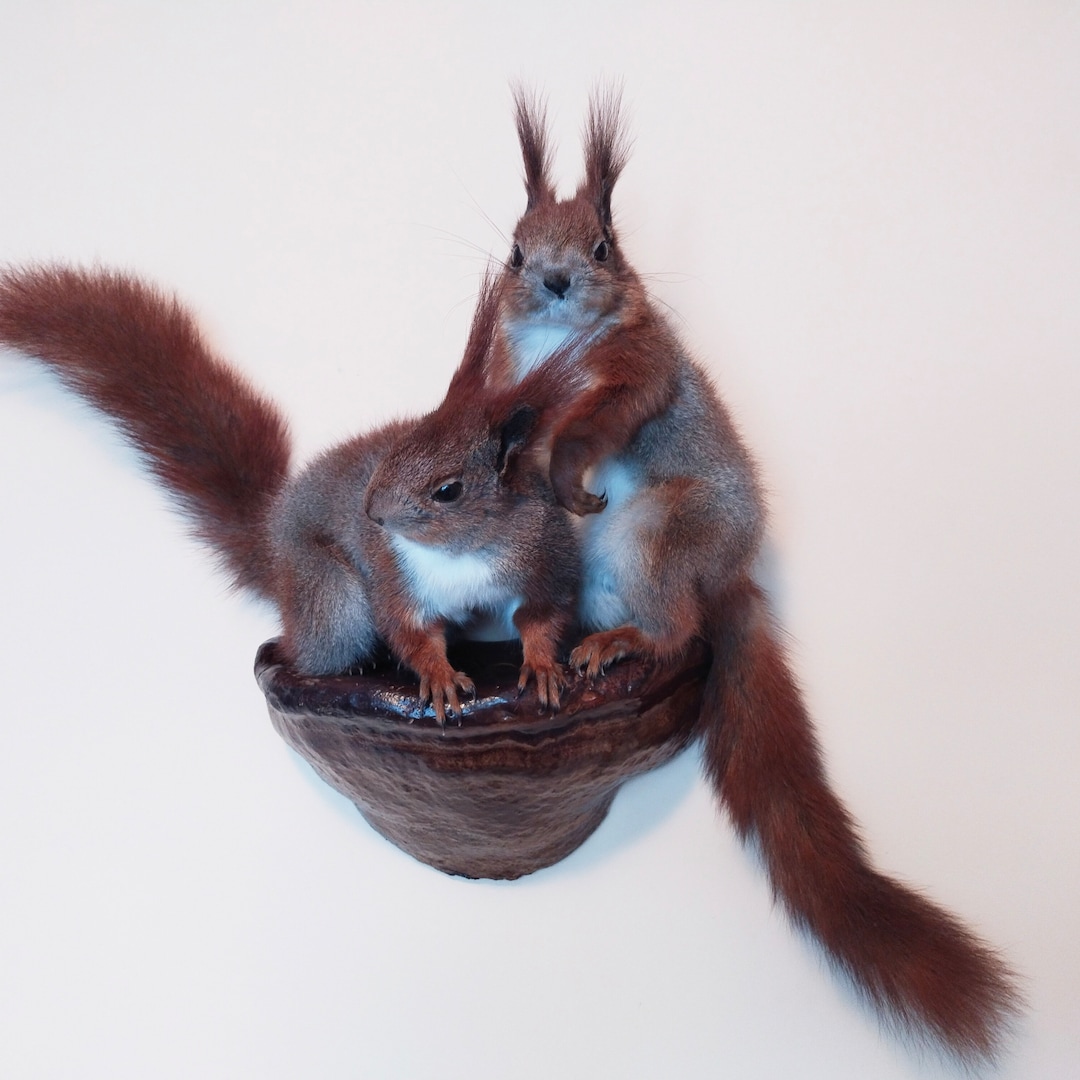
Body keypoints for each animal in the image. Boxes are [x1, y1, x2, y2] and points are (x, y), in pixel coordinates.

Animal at [0, 264, 581, 722]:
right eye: (395, 447)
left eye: (448, 490)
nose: (371, 513)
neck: (463, 551)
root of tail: (272, 542)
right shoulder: (395, 576)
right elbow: (410, 631)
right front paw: (437, 675)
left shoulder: (543, 553)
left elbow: (542, 615)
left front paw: (542, 664)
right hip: (330, 594)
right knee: (306, 650)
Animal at [485, 88, 1022, 1064]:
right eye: (514, 249)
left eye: (603, 247)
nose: (553, 282)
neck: (554, 350)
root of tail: (728, 573)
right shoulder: (511, 384)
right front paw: (513, 471)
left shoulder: (642, 372)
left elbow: (605, 418)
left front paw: (569, 471)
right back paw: (563, 645)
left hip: (659, 538)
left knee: (681, 633)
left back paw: (623, 642)